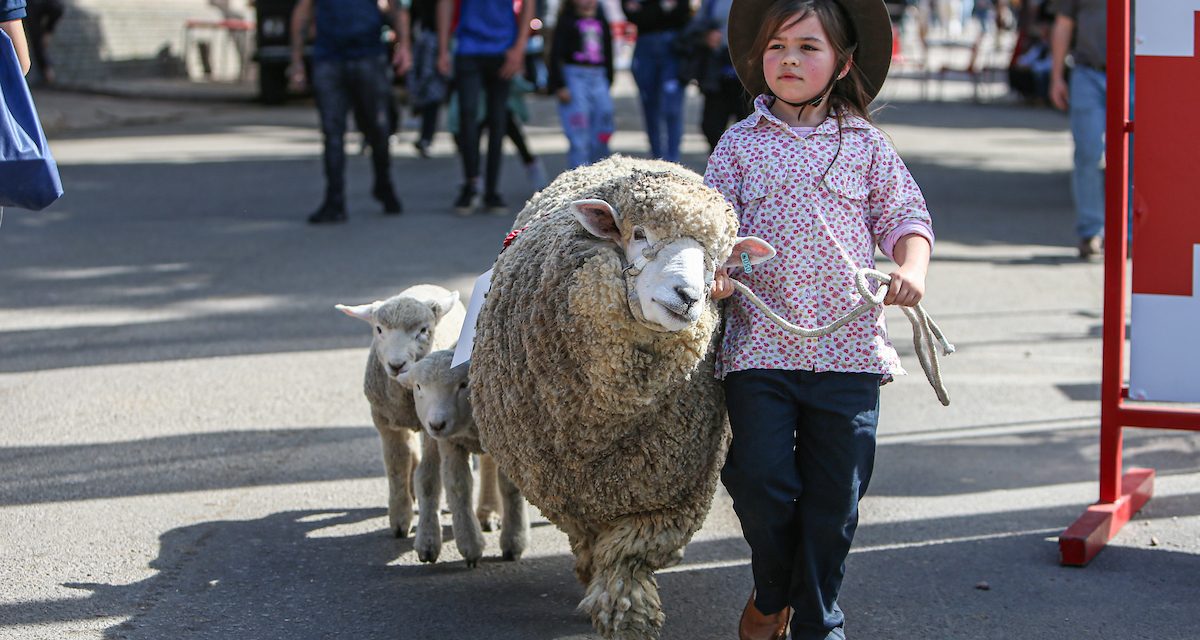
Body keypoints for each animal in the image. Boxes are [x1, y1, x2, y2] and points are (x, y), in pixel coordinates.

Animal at [336, 282, 475, 535]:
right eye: (379, 329)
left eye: (423, 330)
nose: (396, 364)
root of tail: (425, 285)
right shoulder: (384, 422)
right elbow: (396, 465)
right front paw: (400, 517)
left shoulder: (432, 430)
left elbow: (428, 477)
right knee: (410, 452)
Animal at [398, 353, 530, 566]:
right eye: (418, 387)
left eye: (463, 384)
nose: (437, 424)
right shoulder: (451, 443)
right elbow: (458, 486)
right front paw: (471, 545)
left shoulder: (506, 441)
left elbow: (510, 487)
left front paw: (514, 541)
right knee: (427, 478)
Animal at [470, 156, 777, 638]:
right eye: (639, 235)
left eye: (717, 259)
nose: (688, 297)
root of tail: (624, 159)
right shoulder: (566, 489)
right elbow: (588, 537)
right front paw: (592, 575)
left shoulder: (670, 490)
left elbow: (629, 552)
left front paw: (626, 611)